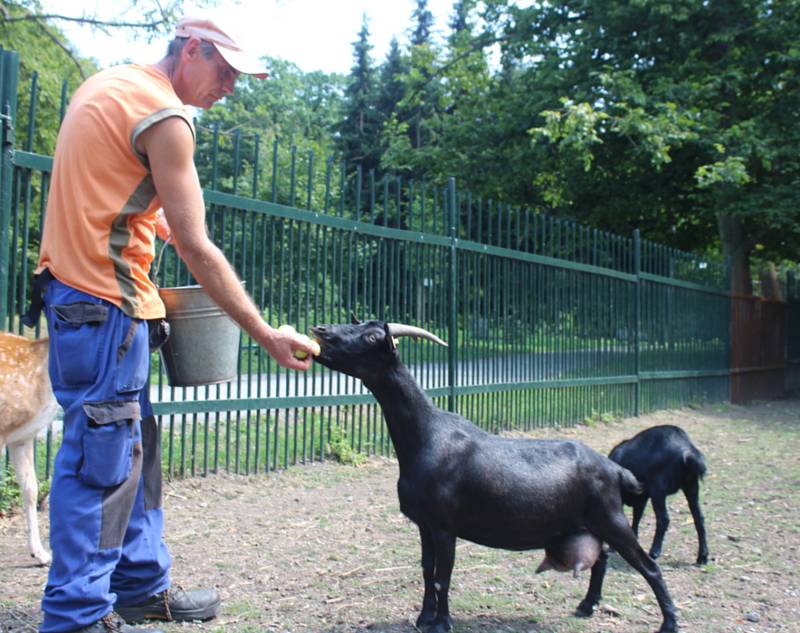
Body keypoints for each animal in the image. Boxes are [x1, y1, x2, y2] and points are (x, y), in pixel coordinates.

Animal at [310, 320, 680, 632]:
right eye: (358, 323)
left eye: (373, 337)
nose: (322, 331)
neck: (427, 436)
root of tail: (614, 469)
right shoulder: (424, 524)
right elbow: (427, 570)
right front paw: (423, 618)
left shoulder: (444, 526)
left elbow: (443, 574)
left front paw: (442, 623)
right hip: (592, 523)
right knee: (601, 560)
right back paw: (586, 606)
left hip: (610, 518)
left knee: (648, 566)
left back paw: (669, 623)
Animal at [608, 424, 708, 564]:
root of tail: (687, 451)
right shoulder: (642, 498)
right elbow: (637, 516)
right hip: (691, 486)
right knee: (699, 518)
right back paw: (703, 556)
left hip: (658, 489)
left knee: (663, 519)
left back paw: (654, 551)